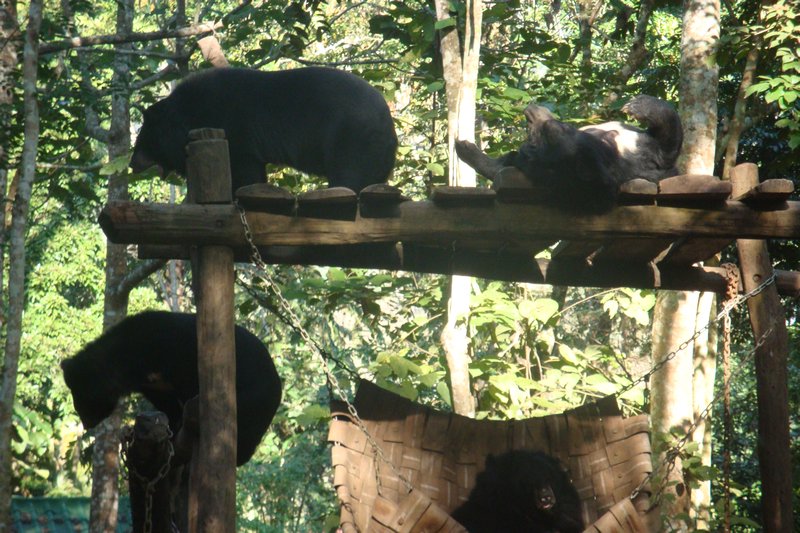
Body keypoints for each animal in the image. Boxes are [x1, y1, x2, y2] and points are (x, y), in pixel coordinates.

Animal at [61, 312, 282, 466]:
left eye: (83, 397)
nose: (87, 423)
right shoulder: (155, 384)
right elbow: (168, 405)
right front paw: (172, 430)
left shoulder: (181, 359)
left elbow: (190, 390)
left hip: (252, 396)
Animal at [130, 66, 400, 194]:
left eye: (142, 139)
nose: (133, 164)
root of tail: (388, 123)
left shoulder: (235, 127)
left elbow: (245, 168)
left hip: (351, 138)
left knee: (350, 174)